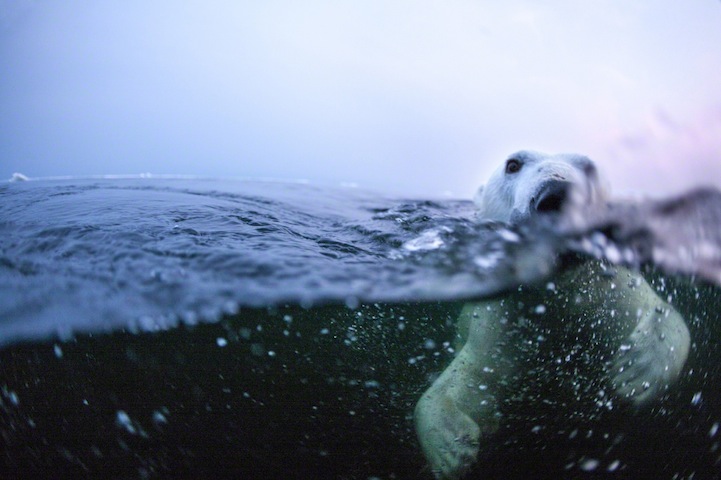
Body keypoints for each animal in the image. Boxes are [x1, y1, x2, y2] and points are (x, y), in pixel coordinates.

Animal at [416, 151, 692, 480]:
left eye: (589, 166)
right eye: (513, 164)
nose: (555, 194)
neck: (558, 296)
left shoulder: (612, 291)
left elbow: (662, 312)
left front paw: (635, 372)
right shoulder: (502, 322)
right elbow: (472, 375)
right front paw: (453, 449)